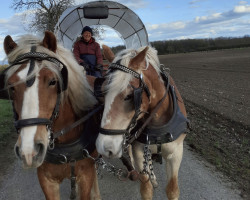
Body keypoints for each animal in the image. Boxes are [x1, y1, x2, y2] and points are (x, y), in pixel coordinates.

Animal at [95, 45, 189, 200]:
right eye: (103, 92)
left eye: (129, 96)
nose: (104, 147)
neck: (157, 122)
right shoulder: (138, 150)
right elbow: (146, 189)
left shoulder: (176, 153)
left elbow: (172, 190)